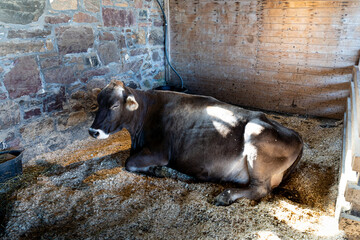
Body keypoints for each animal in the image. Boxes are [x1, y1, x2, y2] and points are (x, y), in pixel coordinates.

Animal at [88, 79, 302, 205]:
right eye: (98, 104)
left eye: (115, 105)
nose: (93, 131)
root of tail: (297, 136)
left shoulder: (160, 152)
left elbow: (129, 162)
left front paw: (158, 170)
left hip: (255, 137)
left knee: (260, 189)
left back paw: (226, 195)